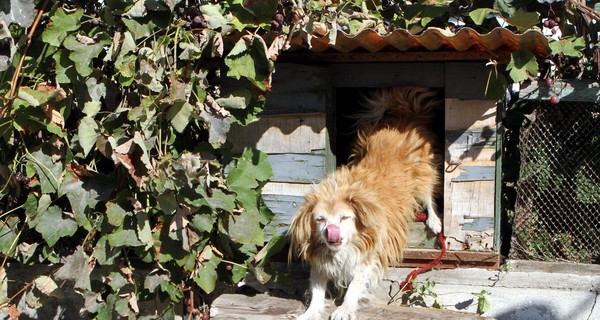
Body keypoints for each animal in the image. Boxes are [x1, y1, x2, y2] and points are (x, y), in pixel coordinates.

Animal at [288, 86, 442, 318]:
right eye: (320, 220)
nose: (330, 231)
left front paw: (344, 309)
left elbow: (354, 286)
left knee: (429, 196)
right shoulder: (320, 262)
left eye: (344, 218)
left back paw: (434, 221)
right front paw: (311, 312)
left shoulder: (369, 257)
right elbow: (317, 292)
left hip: (424, 174)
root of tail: (403, 115)